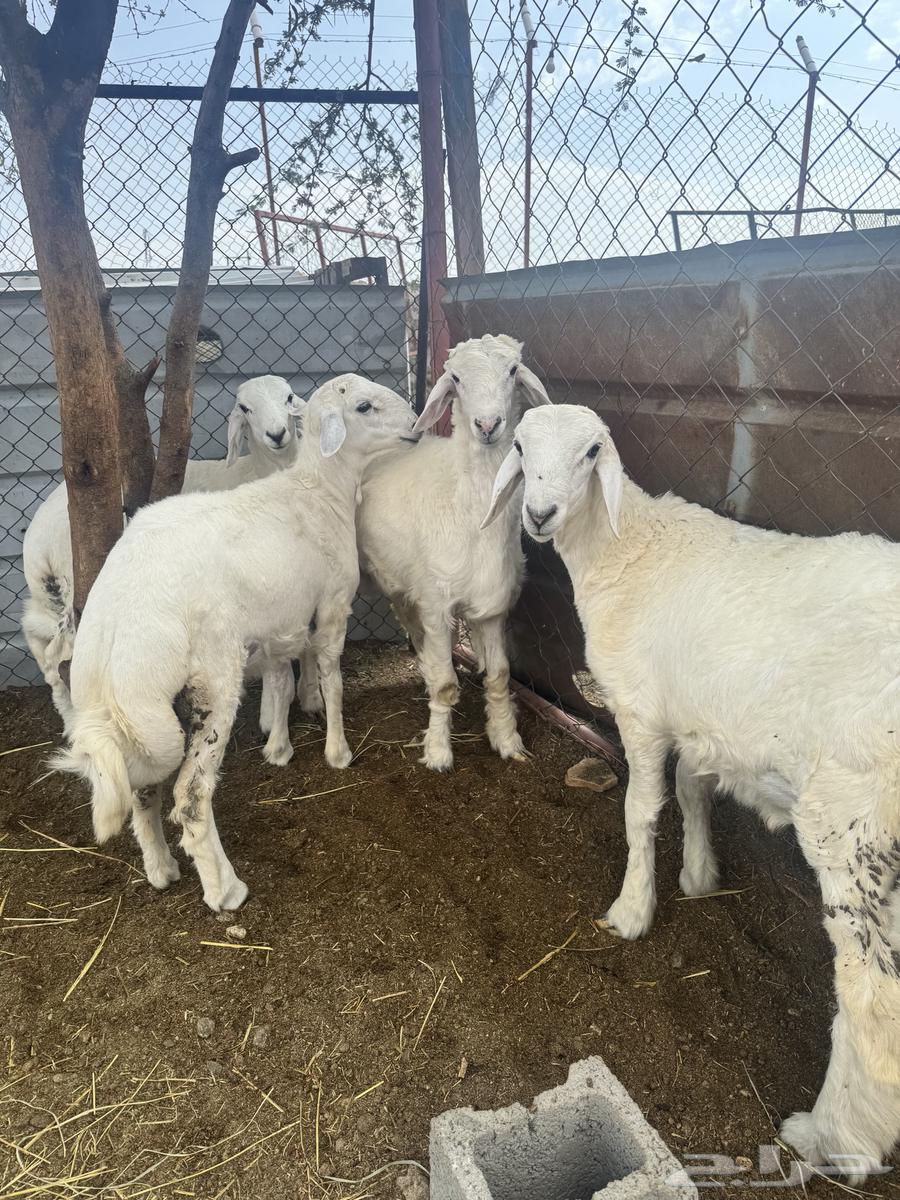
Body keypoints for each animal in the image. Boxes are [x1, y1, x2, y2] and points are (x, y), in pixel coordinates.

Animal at [21, 375, 303, 732]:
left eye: (289, 397)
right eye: (244, 407)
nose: (277, 434)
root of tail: (37, 542)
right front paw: (273, 711)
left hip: (48, 597)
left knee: (39, 643)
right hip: (79, 588)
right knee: (60, 656)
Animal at [52, 375, 416, 912]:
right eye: (365, 406)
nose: (416, 425)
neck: (318, 490)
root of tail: (117, 627)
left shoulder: (281, 618)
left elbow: (284, 677)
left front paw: (279, 744)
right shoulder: (332, 604)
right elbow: (332, 676)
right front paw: (338, 750)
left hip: (135, 714)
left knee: (143, 789)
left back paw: (161, 869)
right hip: (213, 676)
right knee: (190, 798)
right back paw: (224, 889)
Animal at [353, 334, 551, 772]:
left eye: (513, 370)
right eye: (456, 378)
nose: (488, 426)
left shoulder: (491, 606)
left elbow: (498, 677)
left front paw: (506, 739)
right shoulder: (437, 602)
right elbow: (445, 686)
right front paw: (439, 751)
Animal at [482, 401, 900, 1183]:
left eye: (591, 452)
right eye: (520, 446)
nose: (540, 513)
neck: (627, 548)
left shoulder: (641, 710)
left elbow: (640, 809)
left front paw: (632, 909)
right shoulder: (698, 717)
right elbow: (690, 788)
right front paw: (700, 875)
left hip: (851, 820)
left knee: (871, 1001)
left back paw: (833, 1138)